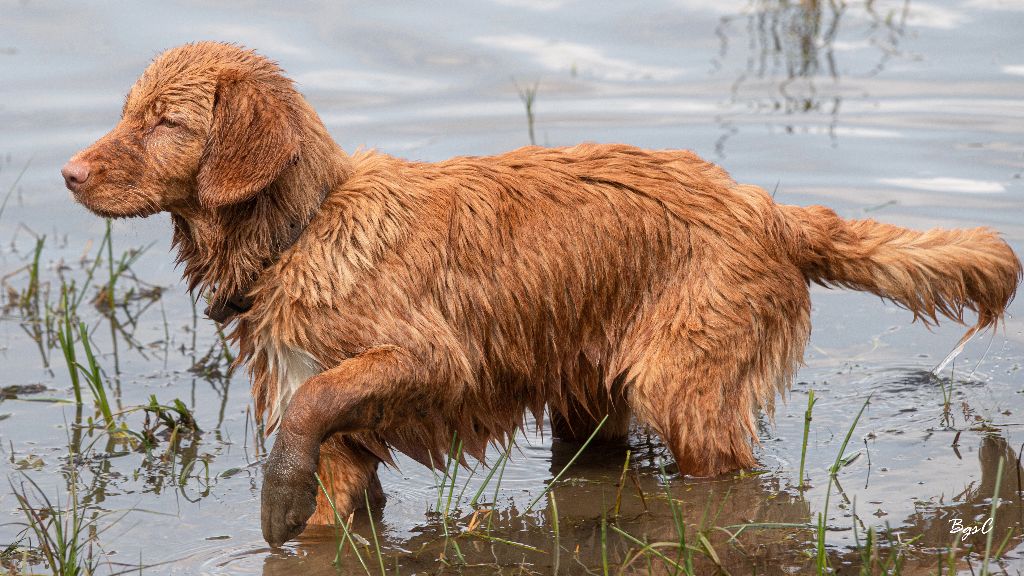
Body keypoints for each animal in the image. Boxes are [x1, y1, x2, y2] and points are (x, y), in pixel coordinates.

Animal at [66, 42, 1024, 545]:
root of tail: (768, 209)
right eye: (126, 111)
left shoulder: (433, 356)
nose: (70, 173)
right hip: (586, 395)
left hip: (684, 385)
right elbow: (327, 464)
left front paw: (276, 493)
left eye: (166, 122)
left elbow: (319, 401)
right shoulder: (343, 446)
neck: (303, 231)